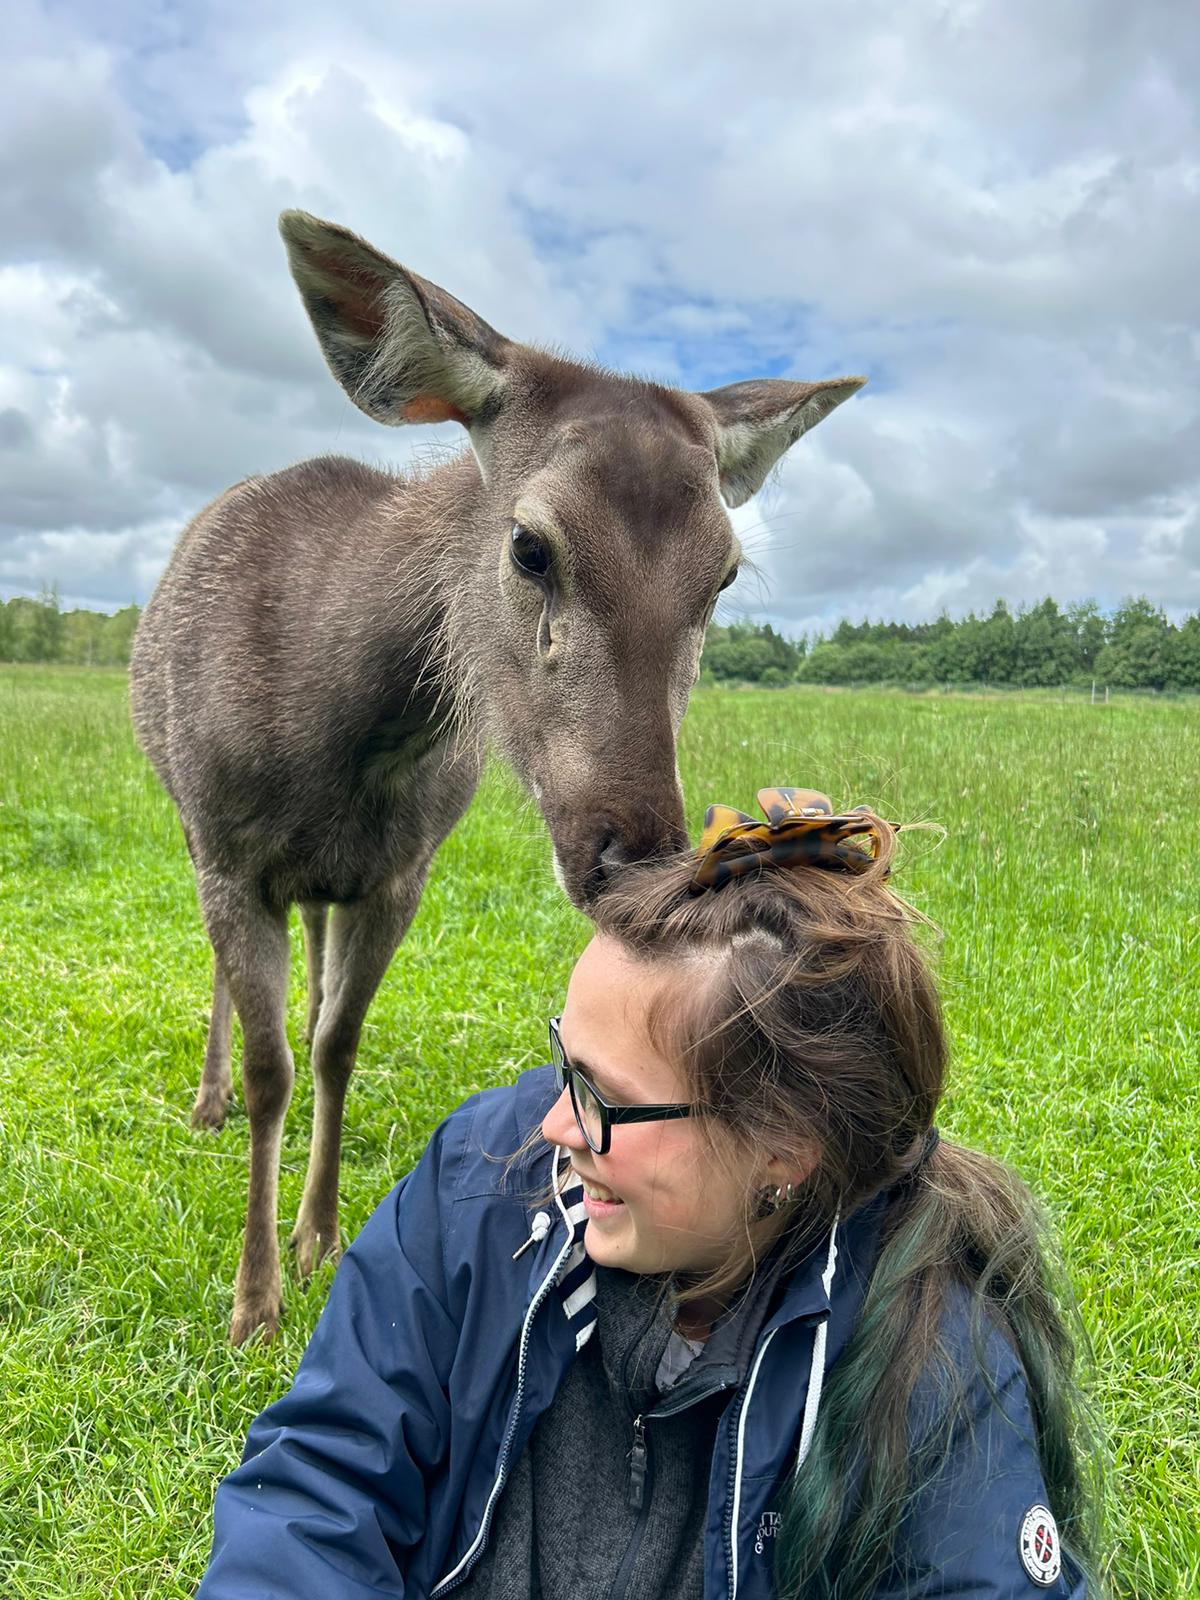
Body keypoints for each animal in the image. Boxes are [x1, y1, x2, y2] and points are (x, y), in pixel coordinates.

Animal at [129, 209, 864, 1337]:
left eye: (725, 574)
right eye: (529, 544)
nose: (636, 857)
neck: (334, 733)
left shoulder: (401, 871)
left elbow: (336, 1042)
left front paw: (317, 1237)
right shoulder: (230, 851)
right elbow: (272, 1068)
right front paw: (254, 1300)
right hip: (190, 822)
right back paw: (204, 1105)